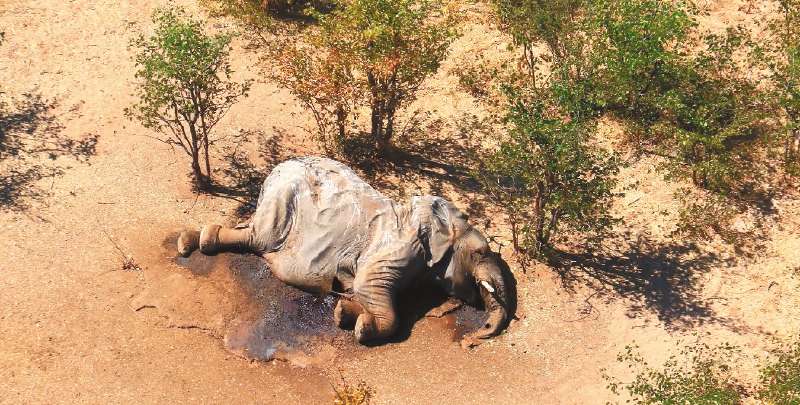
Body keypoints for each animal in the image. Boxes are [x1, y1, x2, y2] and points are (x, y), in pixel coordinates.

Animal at [176, 156, 515, 345]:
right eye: (480, 253)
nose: (473, 339)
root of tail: (279, 166)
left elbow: (363, 292)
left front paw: (344, 312)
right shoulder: (398, 248)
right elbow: (369, 287)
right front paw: (362, 327)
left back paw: (191, 240)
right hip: (282, 199)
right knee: (259, 238)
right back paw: (194, 242)